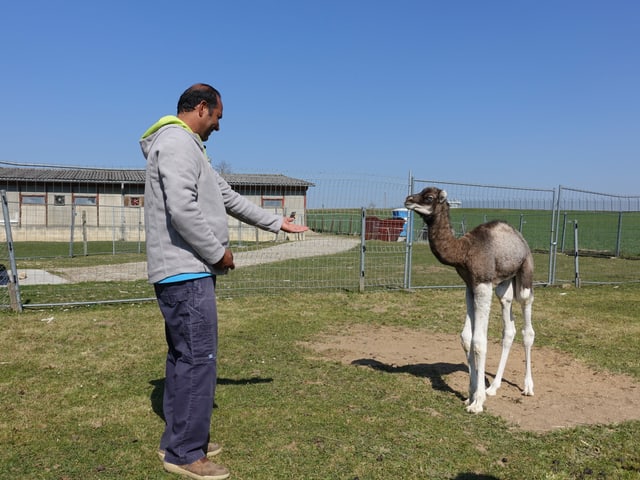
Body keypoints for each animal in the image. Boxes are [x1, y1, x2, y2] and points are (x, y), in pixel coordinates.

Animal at [404, 188, 536, 412]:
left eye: (429, 197)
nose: (408, 200)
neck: (463, 251)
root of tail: (521, 240)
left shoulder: (482, 283)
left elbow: (479, 341)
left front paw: (477, 403)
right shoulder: (469, 286)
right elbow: (466, 337)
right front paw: (471, 395)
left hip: (525, 272)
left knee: (527, 326)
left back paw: (527, 387)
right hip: (503, 284)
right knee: (509, 326)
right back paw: (493, 387)